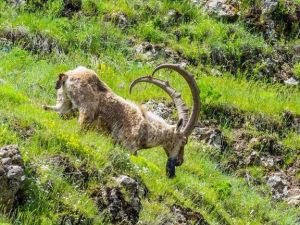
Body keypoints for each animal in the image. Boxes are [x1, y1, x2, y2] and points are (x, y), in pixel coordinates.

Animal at [42, 63, 200, 178]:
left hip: (65, 106)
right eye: (184, 141)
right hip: (86, 112)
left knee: (47, 108)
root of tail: (68, 76)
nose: (180, 161)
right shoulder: (128, 145)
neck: (147, 128)